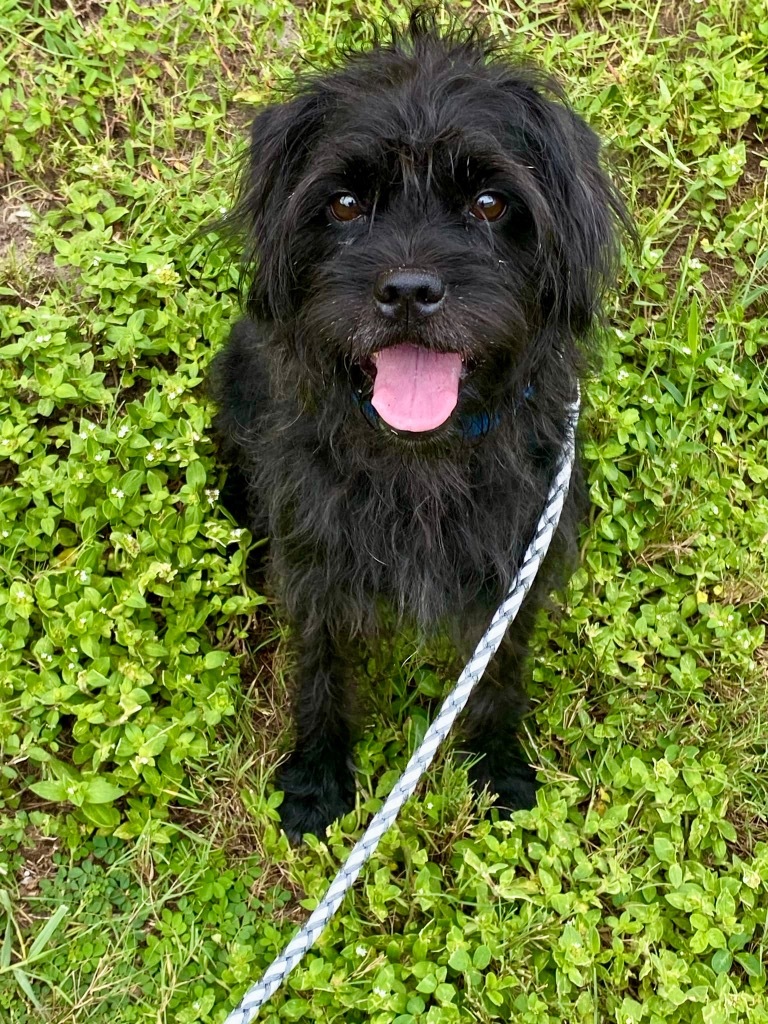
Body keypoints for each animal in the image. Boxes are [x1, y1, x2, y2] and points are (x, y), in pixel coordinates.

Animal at [208, 14, 626, 839]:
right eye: (343, 204)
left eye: (491, 203)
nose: (405, 291)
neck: (421, 454)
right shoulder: (316, 556)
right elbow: (321, 663)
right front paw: (317, 778)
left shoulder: (518, 562)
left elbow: (498, 669)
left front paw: (497, 764)